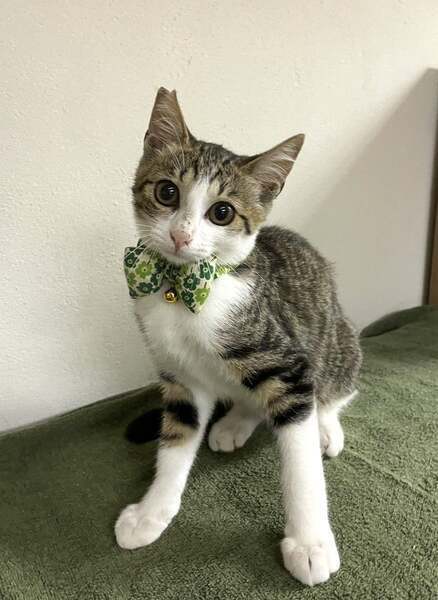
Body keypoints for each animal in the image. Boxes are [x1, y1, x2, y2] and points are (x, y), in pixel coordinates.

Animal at [115, 87, 362, 587]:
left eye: (222, 212)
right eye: (167, 192)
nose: (181, 234)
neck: (181, 290)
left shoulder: (288, 367)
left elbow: (300, 462)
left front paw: (310, 543)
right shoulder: (180, 376)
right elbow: (176, 438)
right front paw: (152, 513)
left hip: (339, 342)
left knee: (334, 391)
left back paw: (326, 428)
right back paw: (235, 422)